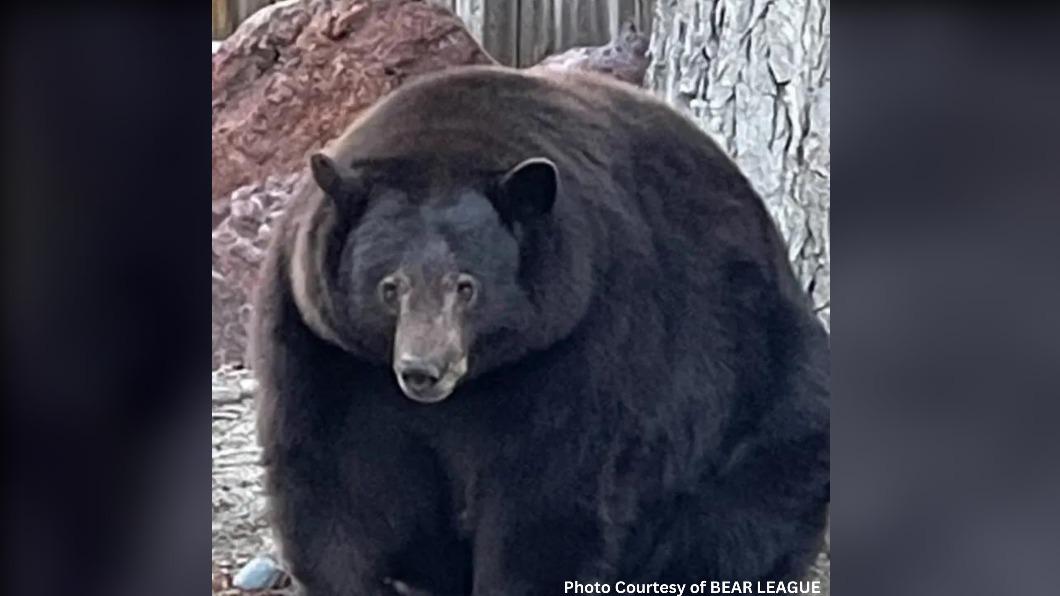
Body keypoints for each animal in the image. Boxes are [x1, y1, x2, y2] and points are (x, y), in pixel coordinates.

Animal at [250, 64, 830, 596]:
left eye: (467, 286)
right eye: (390, 286)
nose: (423, 371)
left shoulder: (584, 332)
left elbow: (549, 491)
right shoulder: (323, 344)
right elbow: (334, 476)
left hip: (757, 388)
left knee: (744, 512)